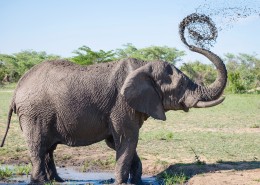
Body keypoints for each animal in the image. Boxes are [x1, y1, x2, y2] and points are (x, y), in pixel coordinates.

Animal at [0, 17, 225, 185]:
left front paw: (135, 181)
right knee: (38, 146)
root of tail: (17, 88)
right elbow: (127, 140)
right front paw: (121, 182)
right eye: (180, 85)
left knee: (49, 149)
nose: (194, 31)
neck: (143, 65)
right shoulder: (121, 104)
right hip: (34, 113)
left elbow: (118, 143)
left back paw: (57, 180)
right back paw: (41, 181)